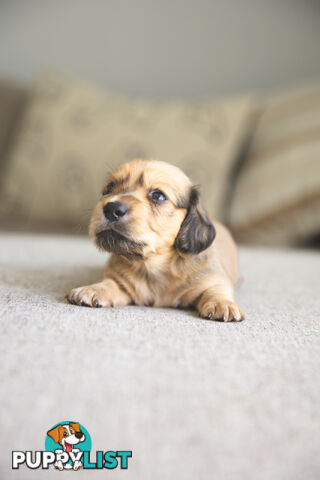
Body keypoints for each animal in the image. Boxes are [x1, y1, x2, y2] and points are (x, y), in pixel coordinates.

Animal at [66, 158, 244, 322]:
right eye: (108, 189)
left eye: (158, 195)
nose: (111, 209)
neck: (154, 264)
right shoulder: (122, 283)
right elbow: (111, 283)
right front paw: (93, 289)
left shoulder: (213, 279)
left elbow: (216, 290)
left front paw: (222, 304)